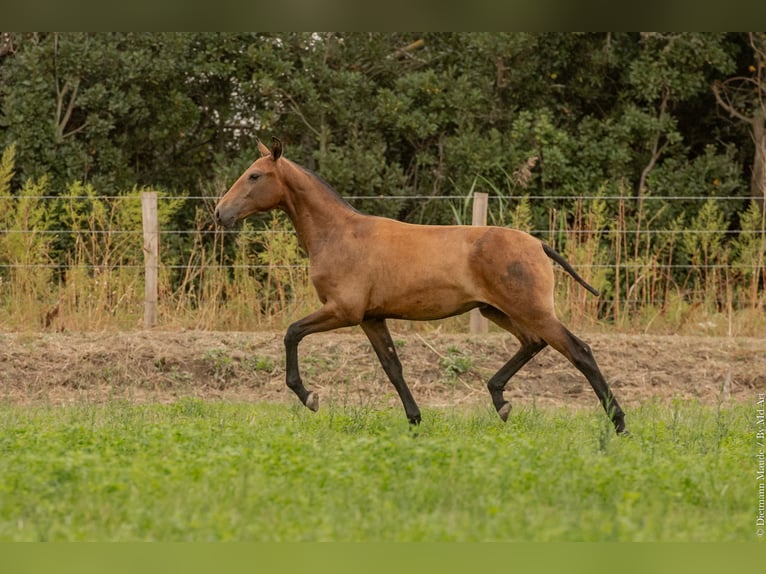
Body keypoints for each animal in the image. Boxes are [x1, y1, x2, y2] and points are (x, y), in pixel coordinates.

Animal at [216, 141, 632, 436]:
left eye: (254, 176)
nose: (220, 213)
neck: (339, 235)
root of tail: (538, 244)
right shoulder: (371, 318)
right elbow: (392, 367)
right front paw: (415, 420)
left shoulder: (343, 311)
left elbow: (291, 333)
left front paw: (309, 397)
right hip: (497, 310)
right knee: (533, 343)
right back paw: (500, 400)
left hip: (530, 310)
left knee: (579, 351)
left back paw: (620, 424)